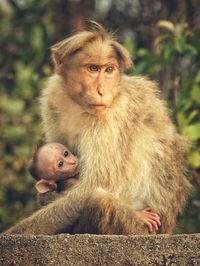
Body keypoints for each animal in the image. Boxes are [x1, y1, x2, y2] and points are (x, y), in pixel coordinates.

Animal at [29, 143, 161, 233]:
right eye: (60, 164)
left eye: (65, 153)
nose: (72, 162)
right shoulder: (70, 182)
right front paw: (141, 216)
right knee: (100, 200)